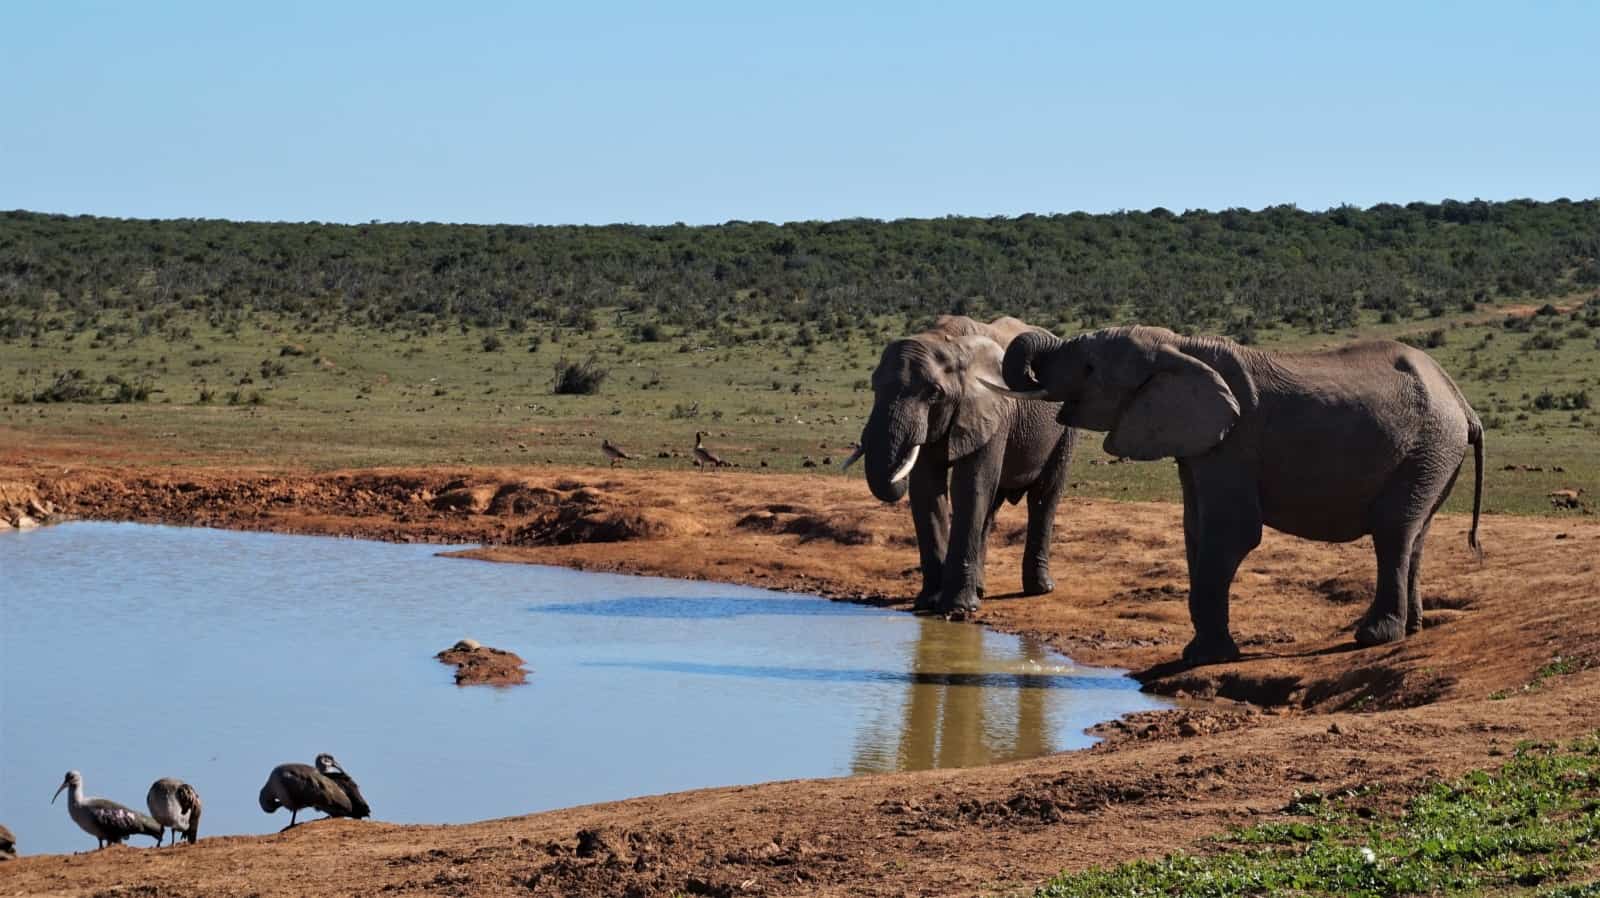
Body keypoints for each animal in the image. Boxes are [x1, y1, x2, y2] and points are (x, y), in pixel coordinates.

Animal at [844, 315, 1081, 614]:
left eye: (934, 393)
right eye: (874, 387)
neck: (948, 342)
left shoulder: (993, 410)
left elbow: (969, 486)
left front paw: (957, 609)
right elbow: (927, 491)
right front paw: (930, 602)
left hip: (1065, 428)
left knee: (1043, 497)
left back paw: (1039, 589)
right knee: (991, 507)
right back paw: (979, 589)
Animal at [985, 324, 1484, 662]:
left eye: (1091, 368)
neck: (1180, 348)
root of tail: (1463, 404)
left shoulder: (1234, 444)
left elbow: (1232, 533)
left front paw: (1204, 658)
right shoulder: (1199, 447)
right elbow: (1195, 530)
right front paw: (1202, 652)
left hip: (1429, 445)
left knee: (1392, 531)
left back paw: (1373, 637)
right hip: (1434, 455)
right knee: (1415, 533)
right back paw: (1413, 629)